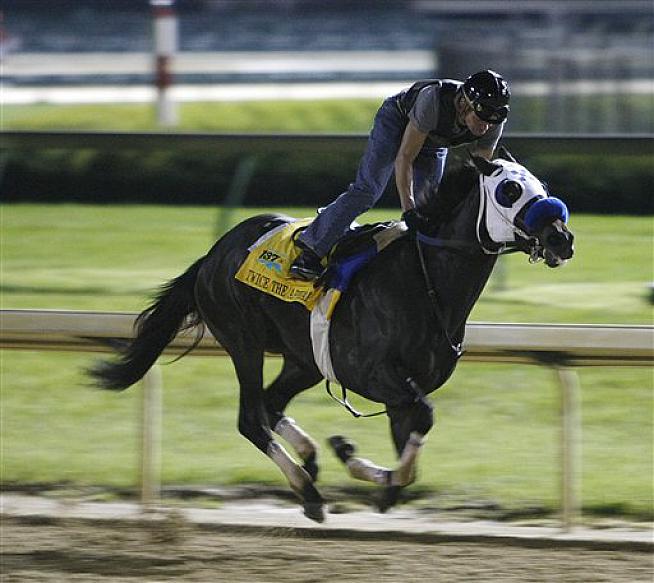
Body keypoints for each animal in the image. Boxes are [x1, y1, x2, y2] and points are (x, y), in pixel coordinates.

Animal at [90, 150, 575, 523]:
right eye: (509, 190)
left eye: (541, 184)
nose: (562, 238)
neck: (424, 281)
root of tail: (211, 256)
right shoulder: (372, 375)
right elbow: (424, 419)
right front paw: (353, 461)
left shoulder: (400, 392)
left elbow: (410, 461)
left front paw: (356, 462)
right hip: (243, 340)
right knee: (251, 417)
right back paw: (307, 491)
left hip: (302, 359)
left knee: (271, 402)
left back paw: (310, 458)